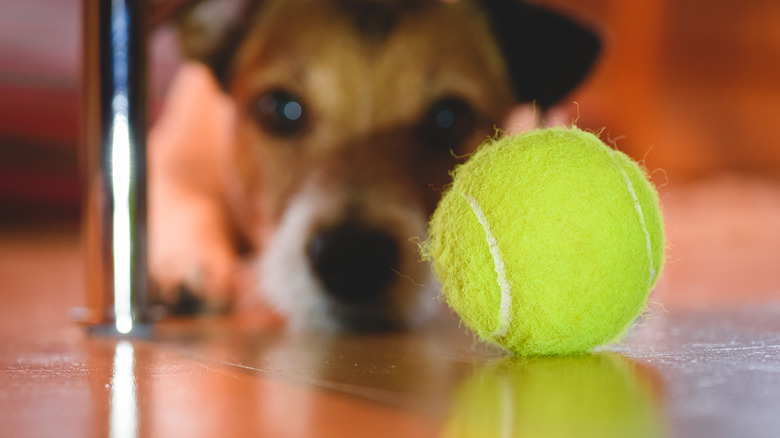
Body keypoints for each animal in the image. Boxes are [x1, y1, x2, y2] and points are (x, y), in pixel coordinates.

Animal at [149, 0, 600, 332]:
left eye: (449, 118)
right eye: (279, 108)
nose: (351, 259)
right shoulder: (173, 156)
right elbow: (183, 196)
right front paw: (184, 266)